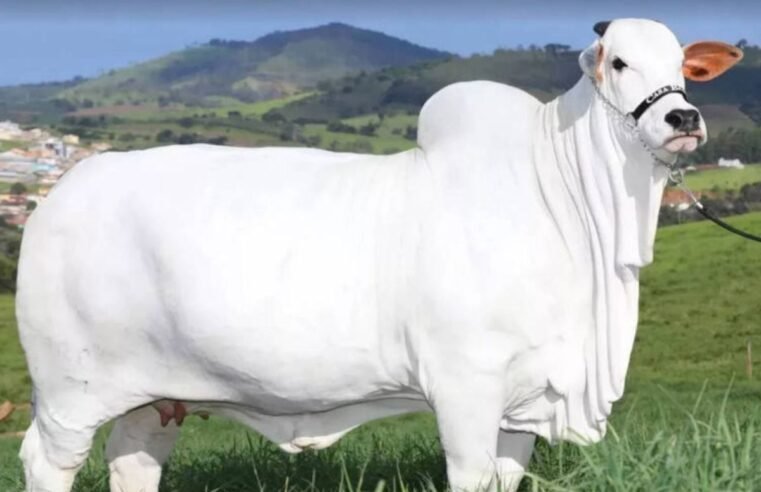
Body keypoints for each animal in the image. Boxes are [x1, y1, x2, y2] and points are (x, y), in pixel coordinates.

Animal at [16, 18, 741, 492]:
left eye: (683, 66)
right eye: (617, 63)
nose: (682, 120)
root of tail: (64, 191)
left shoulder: (525, 399)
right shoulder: (465, 386)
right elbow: (471, 476)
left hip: (156, 395)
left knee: (134, 460)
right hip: (69, 390)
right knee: (46, 462)